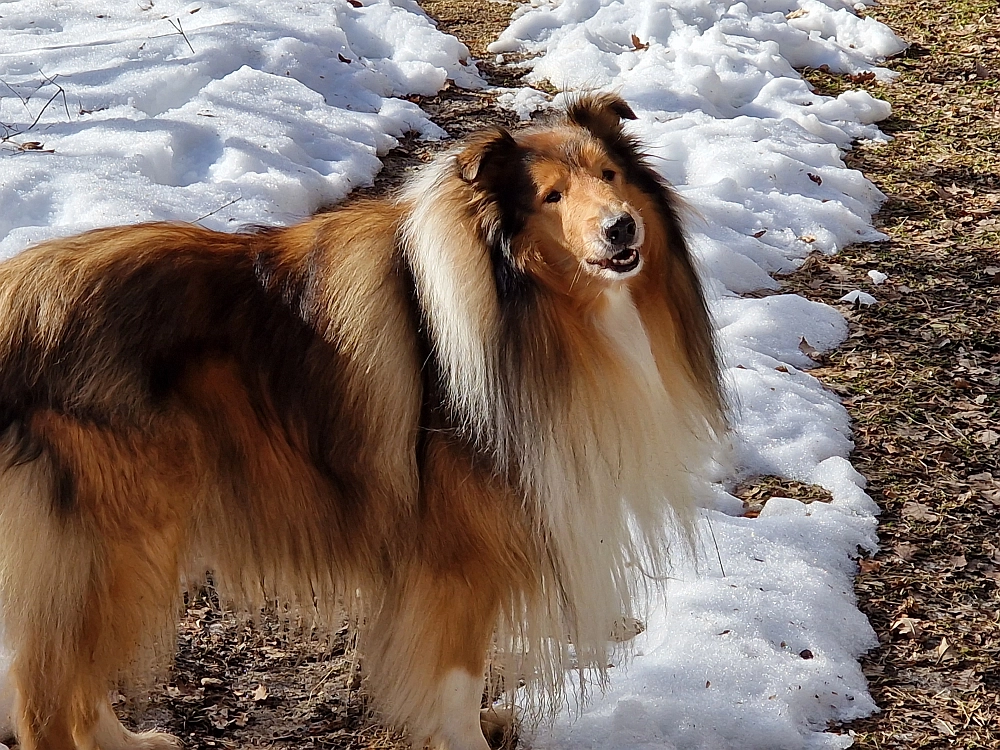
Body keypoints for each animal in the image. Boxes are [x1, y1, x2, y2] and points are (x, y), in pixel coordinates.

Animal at [0, 95, 724, 750]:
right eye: (551, 195)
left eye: (610, 174)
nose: (621, 229)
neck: (515, 301)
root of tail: (16, 299)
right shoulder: (459, 559)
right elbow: (458, 684)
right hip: (120, 541)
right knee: (45, 701)